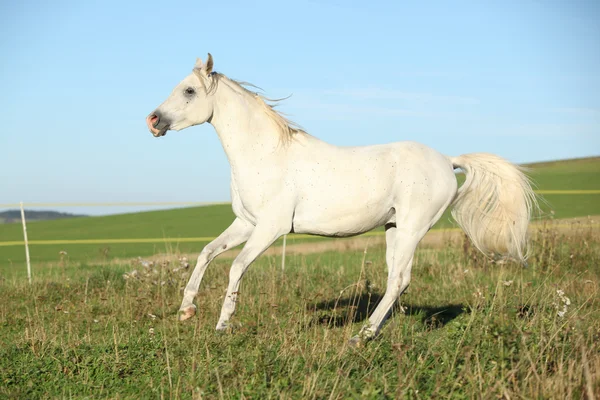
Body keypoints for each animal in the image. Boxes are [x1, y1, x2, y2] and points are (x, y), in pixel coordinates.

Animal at [148, 54, 536, 346]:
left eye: (189, 90)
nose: (153, 120)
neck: (265, 154)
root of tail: (447, 160)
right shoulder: (246, 223)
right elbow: (207, 253)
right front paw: (186, 310)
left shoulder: (271, 228)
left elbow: (236, 267)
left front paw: (222, 325)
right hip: (394, 227)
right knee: (397, 279)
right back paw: (372, 331)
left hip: (413, 228)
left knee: (398, 280)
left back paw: (360, 337)